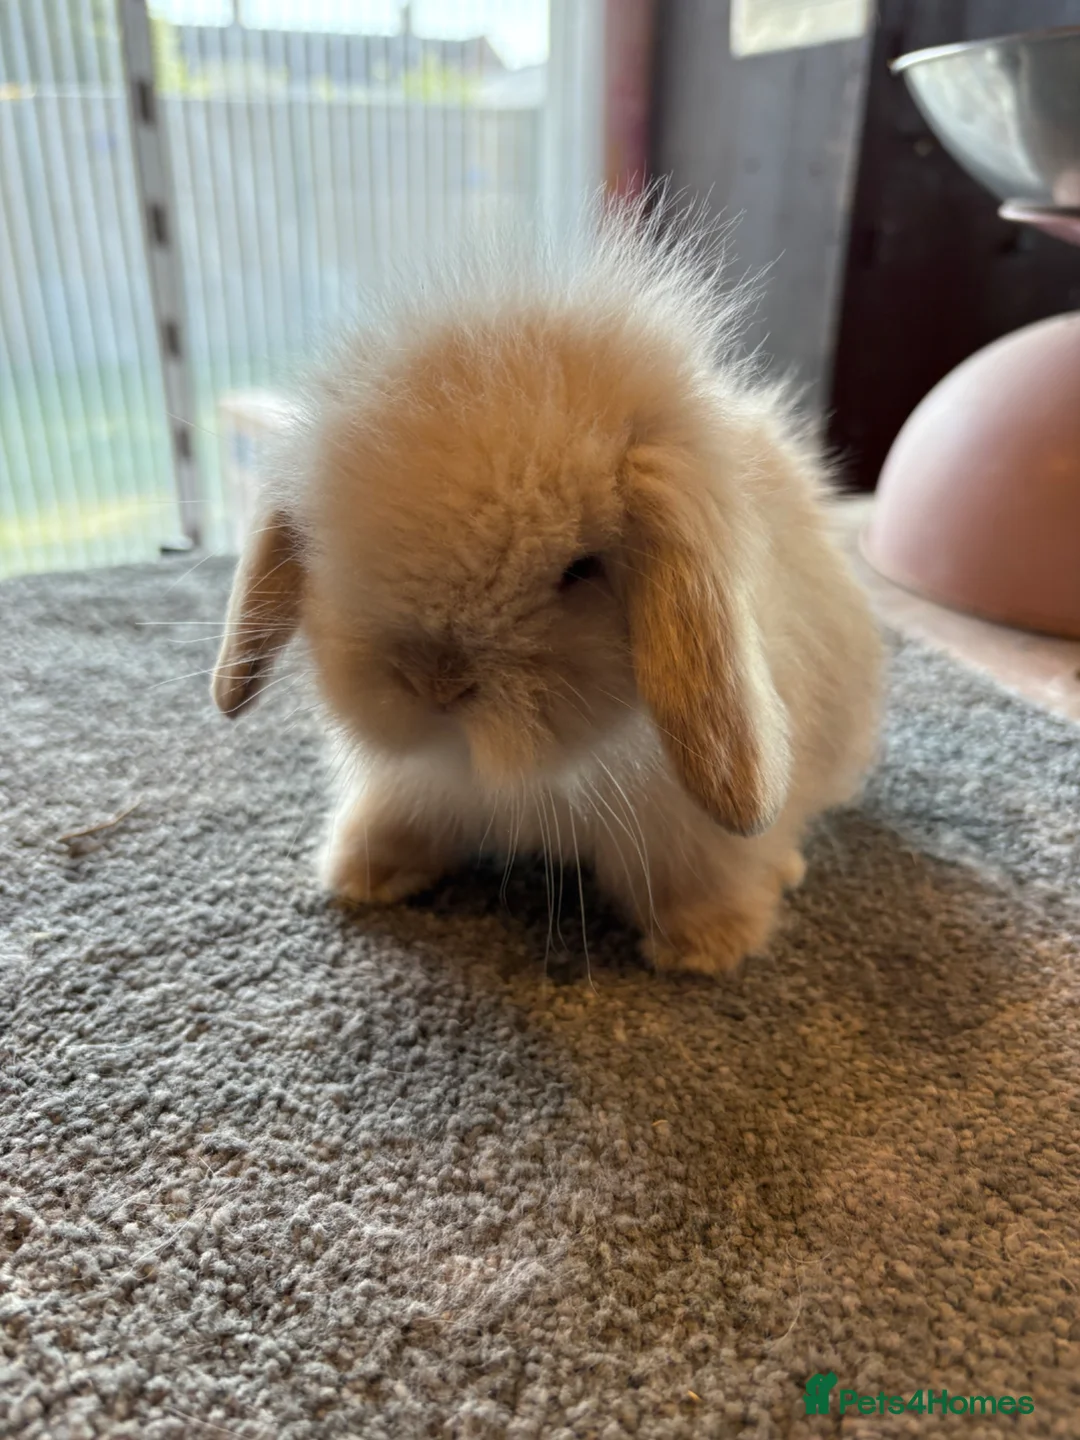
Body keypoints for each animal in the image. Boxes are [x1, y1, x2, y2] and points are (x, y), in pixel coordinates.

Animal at [212, 197, 882, 975]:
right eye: (327, 541)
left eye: (581, 568)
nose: (436, 685)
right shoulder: (411, 784)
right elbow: (399, 818)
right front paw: (362, 873)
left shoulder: (688, 834)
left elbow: (700, 875)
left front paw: (707, 946)